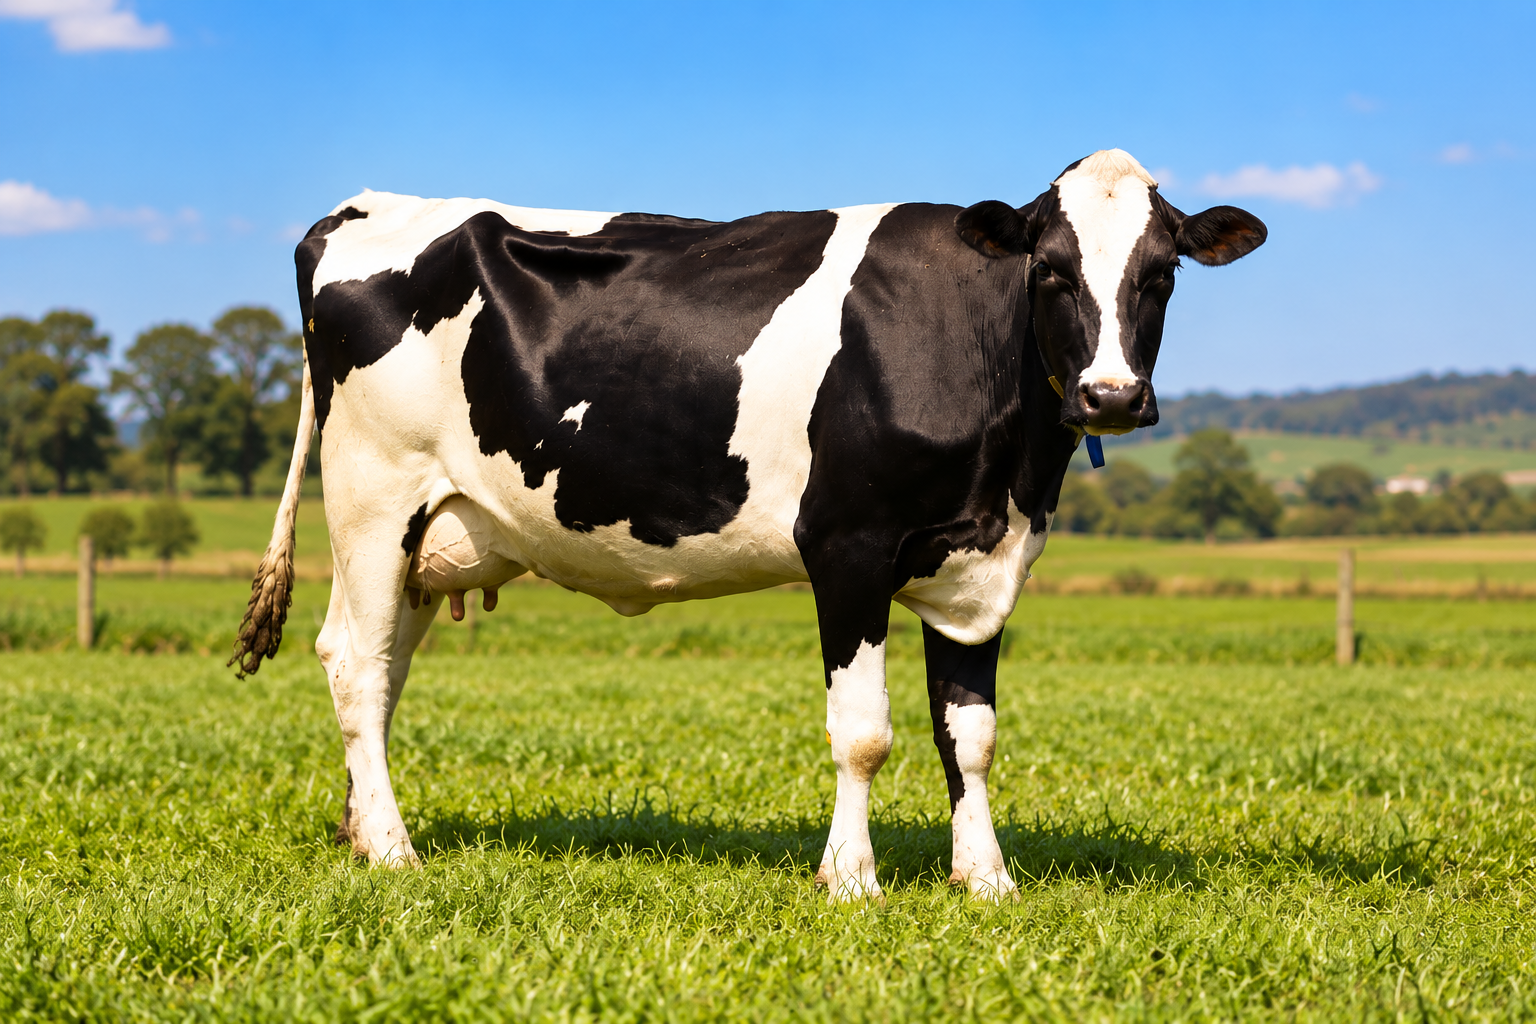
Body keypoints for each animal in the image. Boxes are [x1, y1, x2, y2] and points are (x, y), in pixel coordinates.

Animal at [231, 149, 1265, 902]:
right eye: (1048, 270)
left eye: (1163, 274)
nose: (1111, 396)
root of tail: (362, 207)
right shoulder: (848, 548)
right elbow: (864, 732)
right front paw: (851, 881)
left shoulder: (982, 561)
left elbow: (970, 735)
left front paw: (987, 881)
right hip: (373, 491)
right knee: (355, 663)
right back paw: (394, 852)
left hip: (428, 529)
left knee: (382, 669)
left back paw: (361, 831)